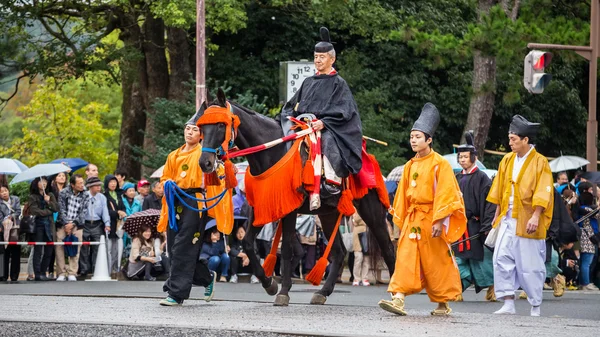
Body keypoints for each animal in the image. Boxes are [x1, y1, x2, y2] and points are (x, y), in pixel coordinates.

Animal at [198, 88, 394, 304]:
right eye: (202, 127)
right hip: (328, 213)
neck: (271, 153)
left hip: (371, 209)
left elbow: (287, 250)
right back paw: (322, 292)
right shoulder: (259, 208)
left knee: (387, 247)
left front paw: (283, 291)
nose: (205, 163)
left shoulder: (290, 210)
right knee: (339, 252)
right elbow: (248, 244)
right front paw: (269, 284)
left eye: (220, 125)